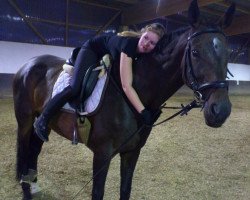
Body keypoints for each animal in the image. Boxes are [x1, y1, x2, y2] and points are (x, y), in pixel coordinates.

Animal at [12, 0, 234, 199]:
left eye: (228, 55)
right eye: (195, 52)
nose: (220, 111)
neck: (133, 97)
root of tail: (28, 65)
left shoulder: (132, 152)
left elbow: (125, 189)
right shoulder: (102, 154)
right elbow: (98, 193)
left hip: (46, 122)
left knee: (34, 149)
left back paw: (33, 184)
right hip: (25, 120)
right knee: (23, 152)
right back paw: (26, 190)